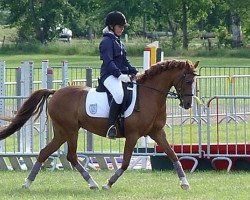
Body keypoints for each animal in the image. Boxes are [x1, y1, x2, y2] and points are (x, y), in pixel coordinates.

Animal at [0, 59, 199, 191]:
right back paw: (93, 183)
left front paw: (185, 183)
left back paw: (28, 183)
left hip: (62, 132)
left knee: (47, 153)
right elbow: (125, 162)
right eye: (188, 81)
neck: (149, 95)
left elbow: (173, 155)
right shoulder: (133, 135)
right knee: (70, 156)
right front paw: (108, 183)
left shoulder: (157, 133)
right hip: (70, 130)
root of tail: (56, 92)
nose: (188, 104)